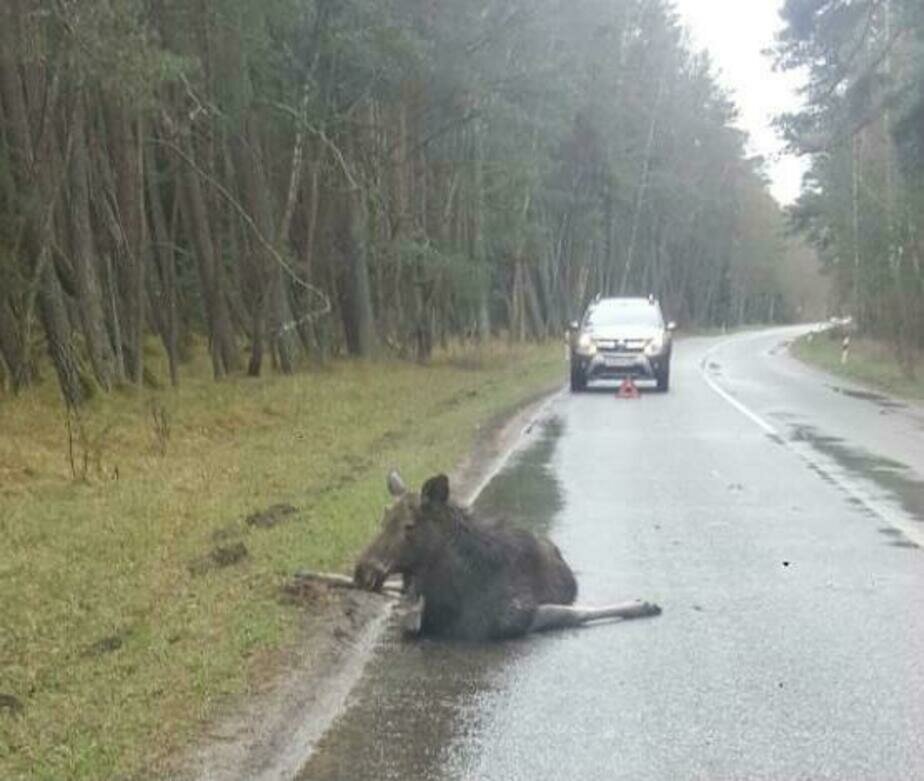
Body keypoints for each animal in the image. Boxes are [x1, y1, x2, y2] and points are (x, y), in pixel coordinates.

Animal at [354, 470, 664, 640]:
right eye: (383, 517)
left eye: (409, 525)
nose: (362, 570)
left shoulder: (516, 615)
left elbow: (572, 613)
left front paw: (643, 604)